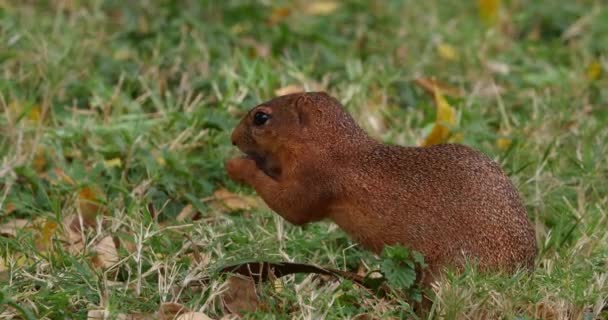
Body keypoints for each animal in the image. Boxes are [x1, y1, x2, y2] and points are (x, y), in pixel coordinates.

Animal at [227, 91, 536, 282]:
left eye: (261, 117)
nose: (233, 139)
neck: (333, 146)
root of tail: (523, 270)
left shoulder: (317, 179)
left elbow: (293, 208)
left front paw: (238, 166)